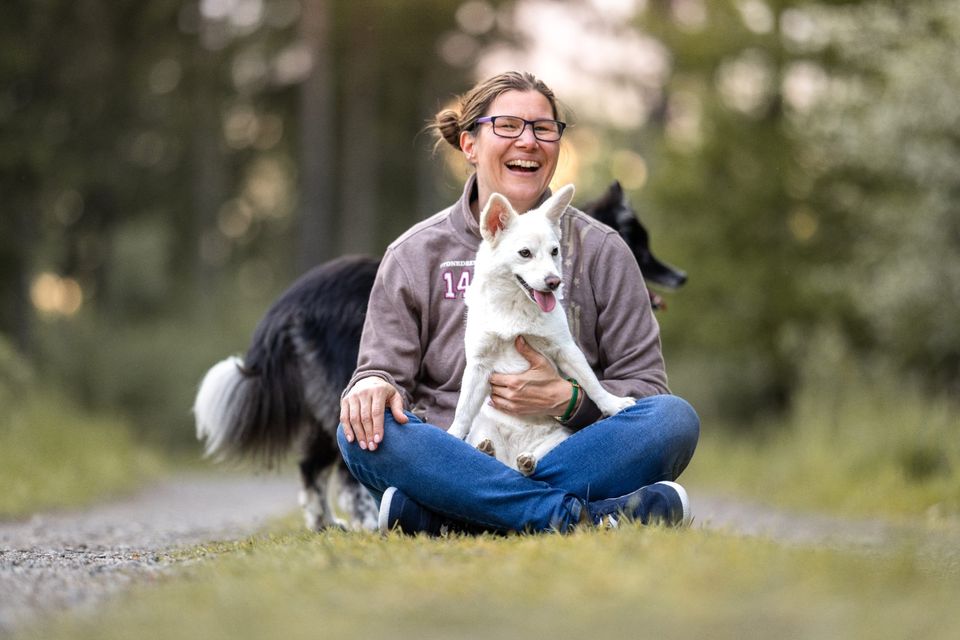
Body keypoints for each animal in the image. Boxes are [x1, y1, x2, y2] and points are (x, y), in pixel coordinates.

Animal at [450, 185, 636, 476]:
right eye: (525, 253)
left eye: (555, 251)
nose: (554, 281)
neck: (516, 307)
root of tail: (511, 461)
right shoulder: (478, 366)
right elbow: (462, 411)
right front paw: (450, 435)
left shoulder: (566, 350)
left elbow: (591, 384)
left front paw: (613, 404)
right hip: (483, 428)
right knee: (486, 447)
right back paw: (486, 450)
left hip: (556, 440)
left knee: (534, 463)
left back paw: (527, 461)